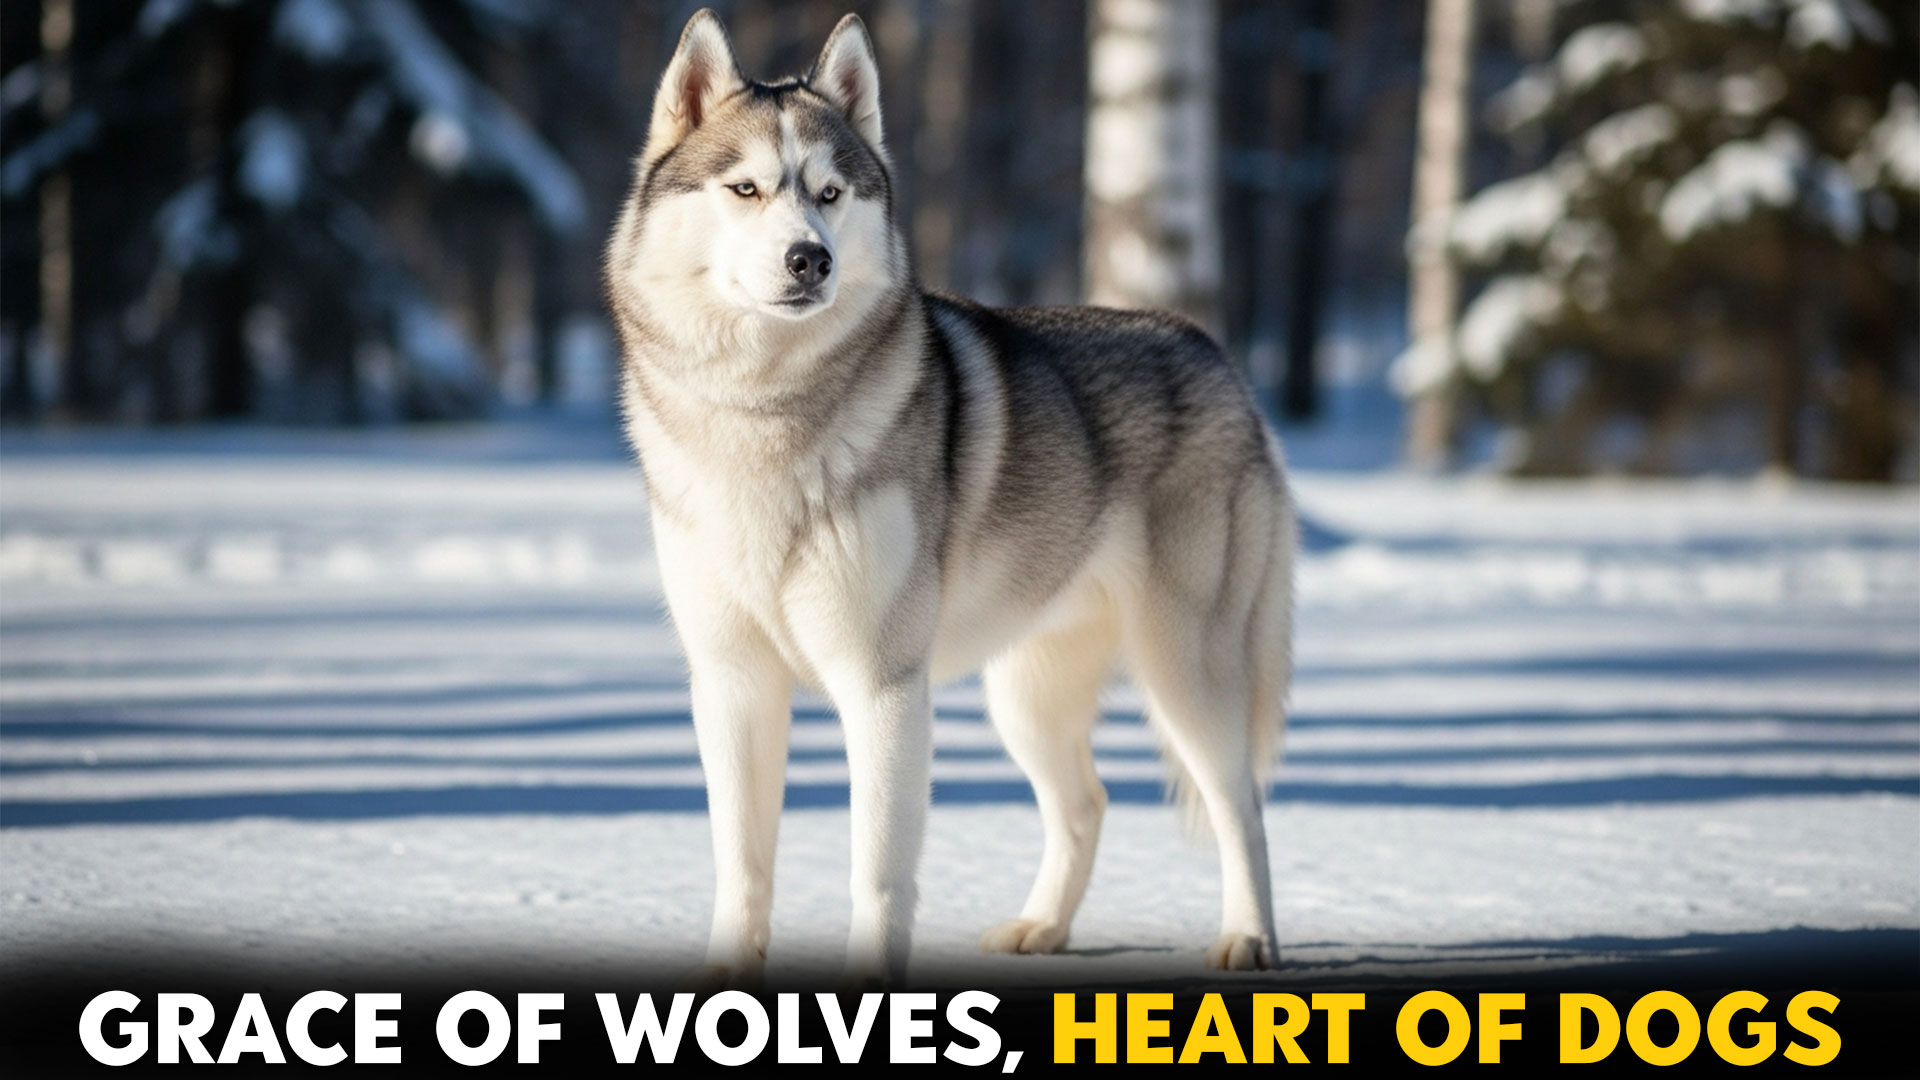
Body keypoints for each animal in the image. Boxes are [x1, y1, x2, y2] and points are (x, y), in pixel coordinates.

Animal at [605, 9, 1295, 987]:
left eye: (830, 193)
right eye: (745, 189)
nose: (808, 259)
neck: (765, 416)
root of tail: (1213, 350)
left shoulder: (883, 687)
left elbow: (877, 877)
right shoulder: (732, 684)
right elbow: (743, 871)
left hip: (1186, 674)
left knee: (1242, 805)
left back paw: (1247, 938)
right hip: (1025, 695)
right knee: (1087, 802)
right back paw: (1041, 928)